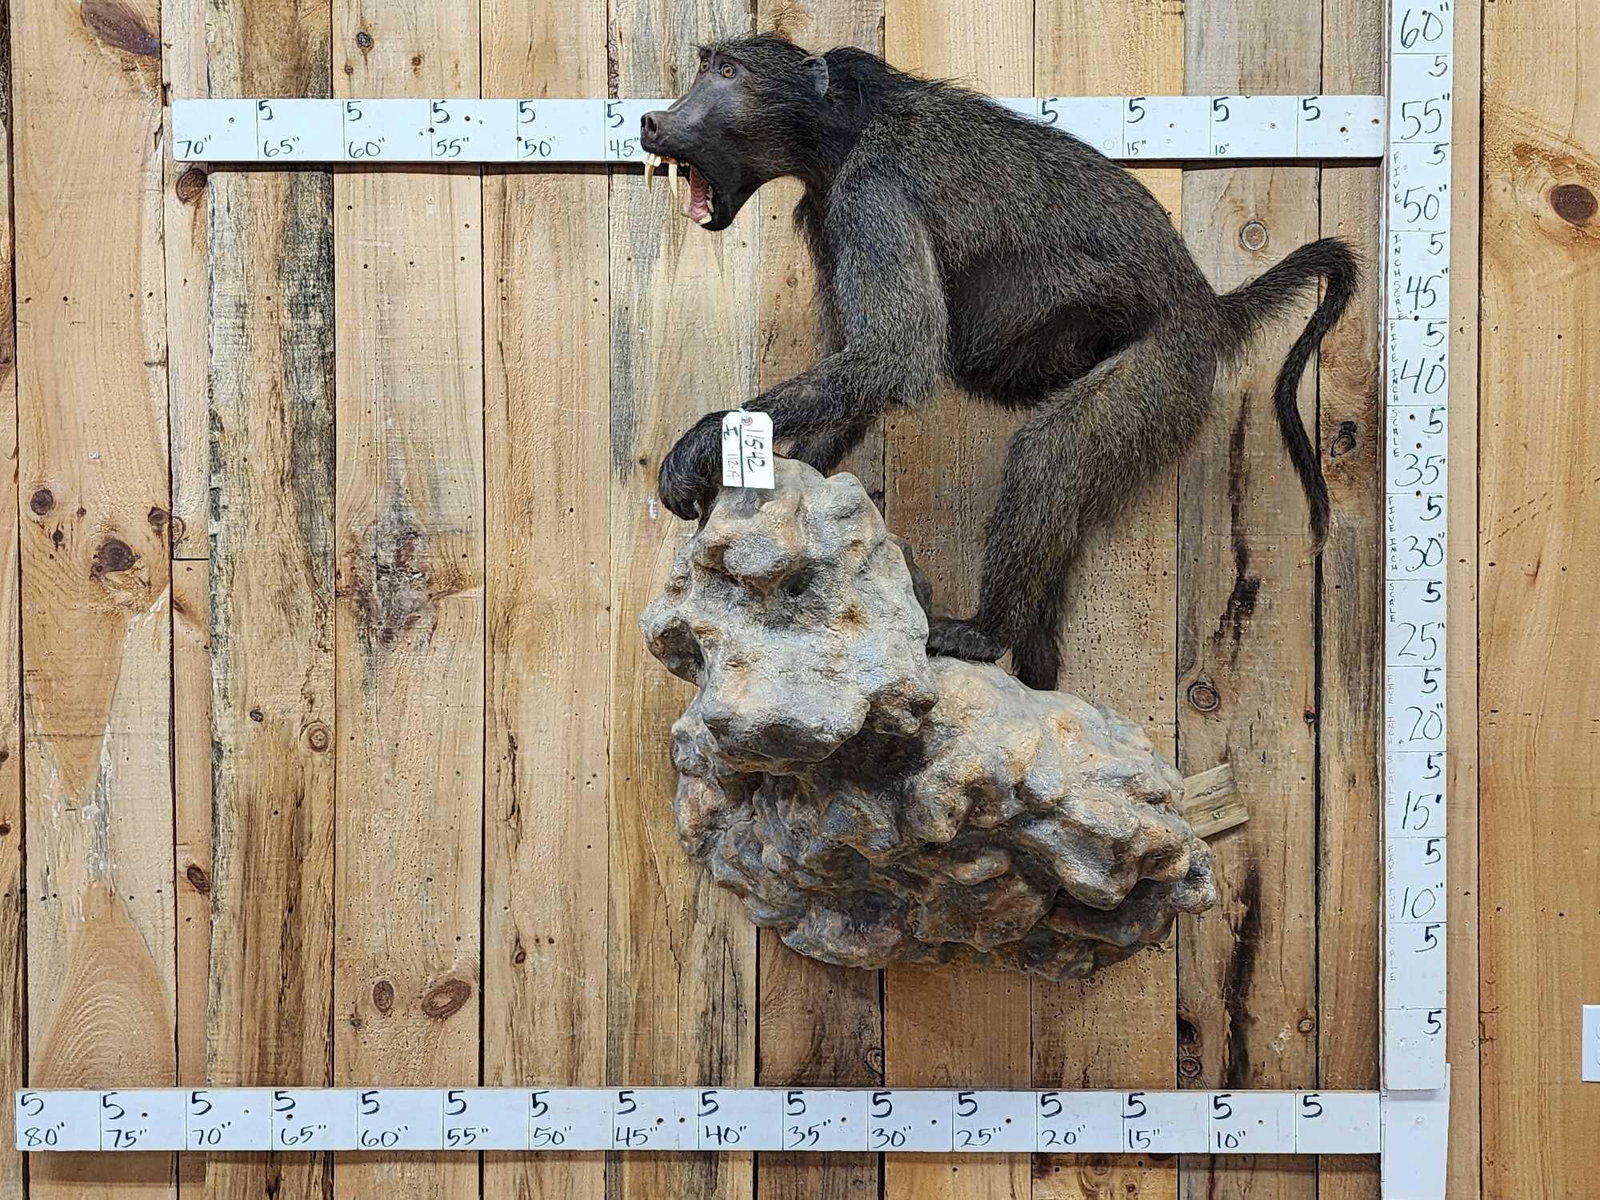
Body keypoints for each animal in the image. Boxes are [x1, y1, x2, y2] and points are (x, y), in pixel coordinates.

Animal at [640, 35, 1357, 691]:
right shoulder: (829, 213)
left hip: (1166, 371)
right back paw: (1041, 681)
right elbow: (868, 374)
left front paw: (700, 448)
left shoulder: (872, 194)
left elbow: (896, 355)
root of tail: (1208, 304)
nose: (652, 120)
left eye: (727, 71)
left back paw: (988, 634)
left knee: (1050, 450)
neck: (843, 125)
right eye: (709, 67)